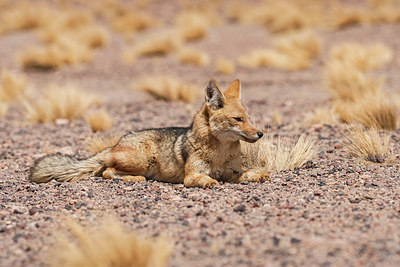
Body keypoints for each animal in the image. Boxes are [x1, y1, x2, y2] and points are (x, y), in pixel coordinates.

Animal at [29, 79, 268, 188]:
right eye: (238, 119)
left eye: (249, 118)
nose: (260, 134)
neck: (220, 152)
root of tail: (116, 143)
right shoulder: (191, 176)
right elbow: (204, 178)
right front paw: (209, 181)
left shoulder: (234, 172)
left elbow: (248, 173)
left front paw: (259, 175)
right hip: (143, 160)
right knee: (107, 172)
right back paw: (135, 178)